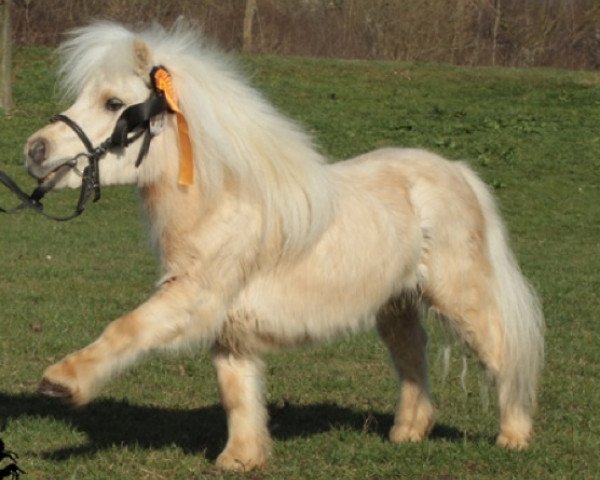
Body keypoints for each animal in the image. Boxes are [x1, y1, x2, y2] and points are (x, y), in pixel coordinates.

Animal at [25, 21, 544, 468]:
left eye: (114, 103)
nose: (35, 150)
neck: (224, 202)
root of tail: (457, 171)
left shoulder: (191, 299)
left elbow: (128, 329)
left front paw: (62, 382)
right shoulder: (229, 327)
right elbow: (238, 393)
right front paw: (241, 458)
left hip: (460, 298)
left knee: (500, 354)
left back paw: (514, 437)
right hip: (395, 305)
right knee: (412, 359)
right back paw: (407, 433)